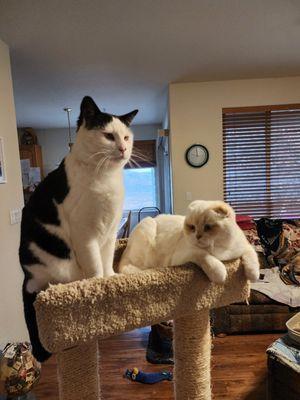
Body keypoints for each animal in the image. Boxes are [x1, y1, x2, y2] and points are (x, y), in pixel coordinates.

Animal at [19, 95, 138, 360]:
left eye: (126, 137)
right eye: (108, 136)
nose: (123, 149)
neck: (105, 177)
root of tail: (28, 276)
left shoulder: (110, 233)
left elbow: (106, 261)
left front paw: (112, 280)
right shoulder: (86, 235)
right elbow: (95, 265)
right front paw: (98, 289)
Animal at [118, 202, 258, 282]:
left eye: (208, 227)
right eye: (192, 227)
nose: (197, 236)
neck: (220, 249)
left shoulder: (245, 248)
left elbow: (253, 260)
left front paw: (252, 276)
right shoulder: (187, 255)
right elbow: (208, 258)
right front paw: (221, 275)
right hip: (147, 228)